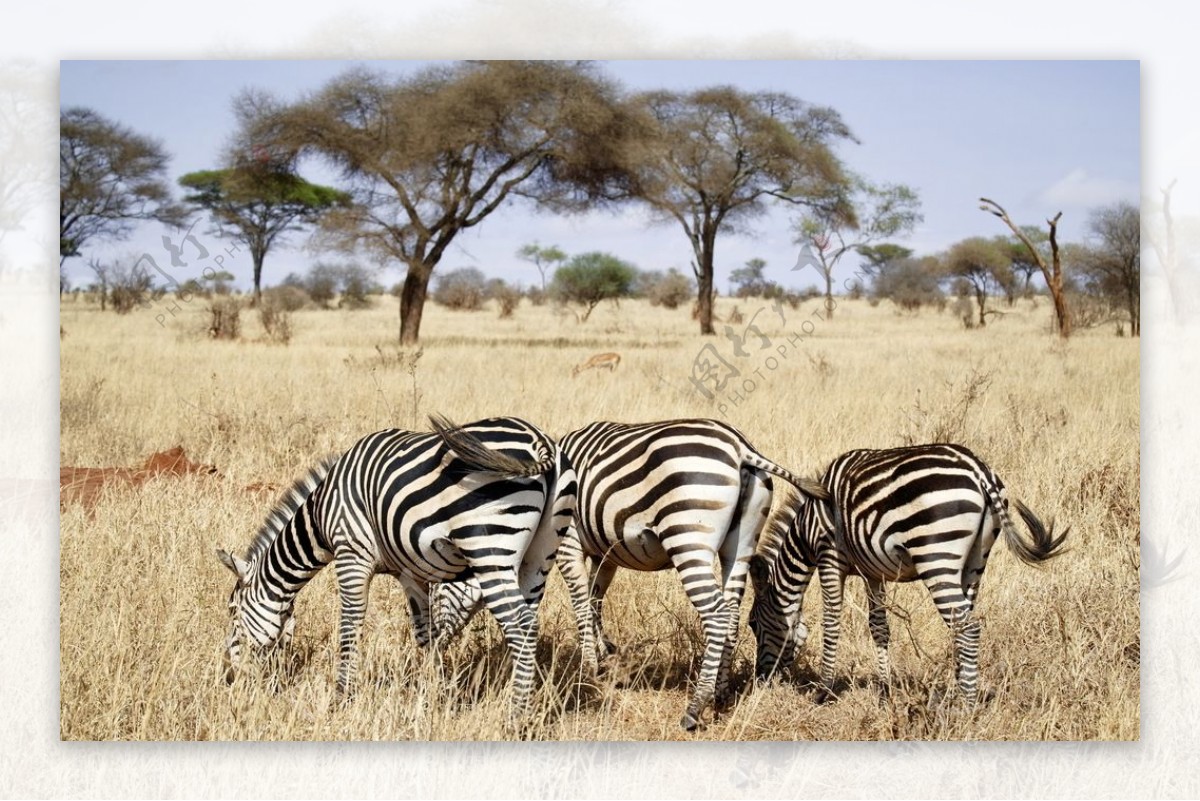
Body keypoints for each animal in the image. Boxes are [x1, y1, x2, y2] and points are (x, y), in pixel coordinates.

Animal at [218, 417, 578, 724]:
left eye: (233, 611)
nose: (229, 678)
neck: (320, 514)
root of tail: (539, 440)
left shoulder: (351, 553)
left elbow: (349, 625)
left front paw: (342, 697)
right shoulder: (412, 571)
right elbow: (426, 635)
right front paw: (432, 694)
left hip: (489, 547)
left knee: (521, 626)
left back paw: (514, 719)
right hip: (540, 554)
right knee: (528, 620)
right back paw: (518, 702)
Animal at [436, 419, 830, 733]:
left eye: (439, 590)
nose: (433, 647)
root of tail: (741, 447)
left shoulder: (568, 543)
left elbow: (580, 601)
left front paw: (589, 667)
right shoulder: (606, 552)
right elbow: (595, 597)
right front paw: (604, 653)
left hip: (689, 537)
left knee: (717, 615)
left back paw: (696, 706)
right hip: (740, 543)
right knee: (731, 613)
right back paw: (720, 692)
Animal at [748, 443, 1070, 705]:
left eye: (752, 624)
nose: (761, 680)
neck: (806, 530)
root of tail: (980, 471)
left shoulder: (830, 557)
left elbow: (830, 622)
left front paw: (824, 690)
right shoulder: (872, 572)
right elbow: (879, 627)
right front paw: (885, 689)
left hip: (936, 556)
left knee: (967, 627)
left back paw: (966, 704)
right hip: (976, 561)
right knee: (962, 622)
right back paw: (959, 689)